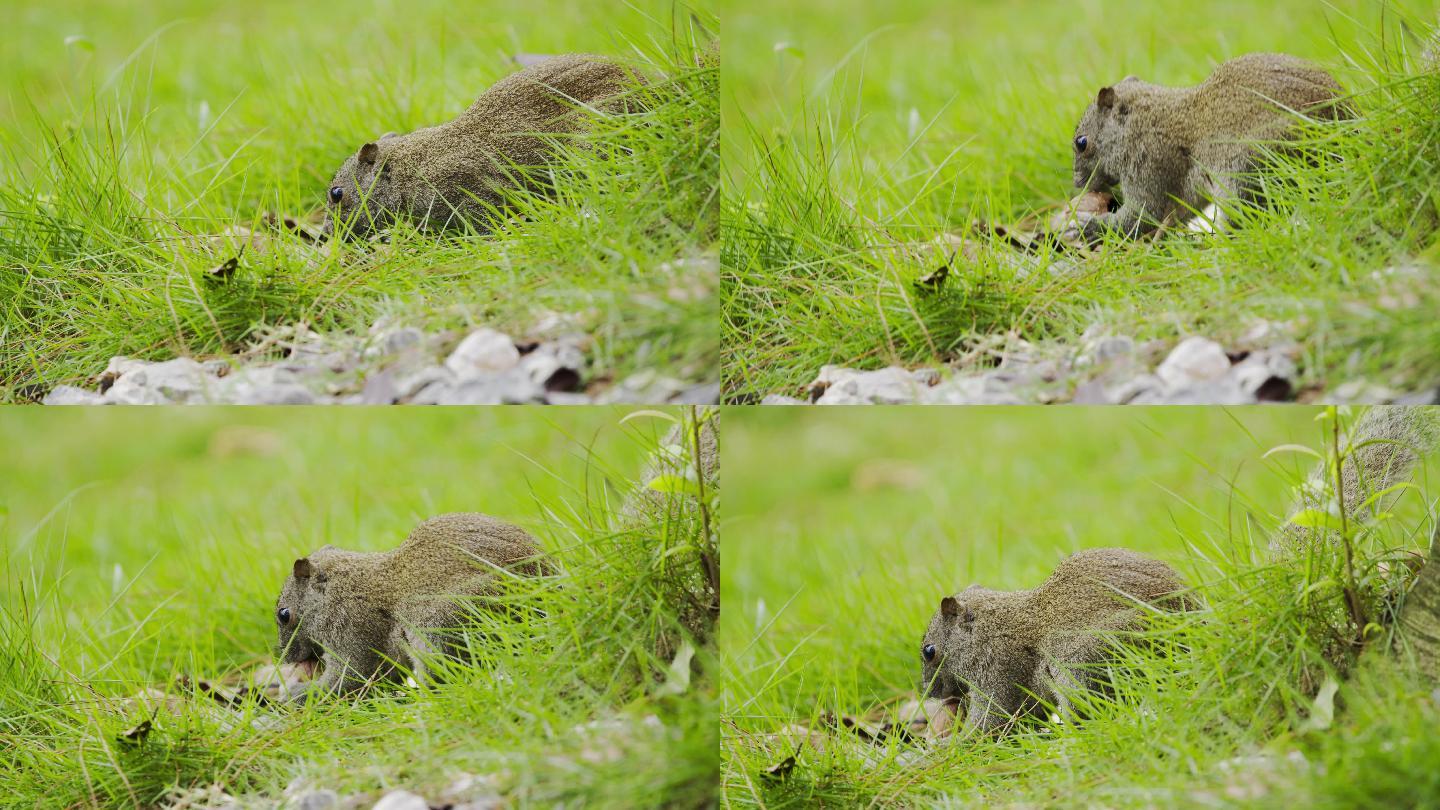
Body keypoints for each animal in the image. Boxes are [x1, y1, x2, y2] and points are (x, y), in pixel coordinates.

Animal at [273, 510, 550, 694]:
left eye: (284, 614)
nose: (286, 659)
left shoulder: (352, 627)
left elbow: (350, 677)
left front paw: (295, 697)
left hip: (444, 621)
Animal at [921, 547, 1192, 732]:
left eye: (929, 651)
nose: (928, 692)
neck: (986, 627)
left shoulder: (997, 669)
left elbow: (990, 719)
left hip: (1084, 662)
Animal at [1077, 51, 1353, 236]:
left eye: (1082, 143)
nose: (1079, 185)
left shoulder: (1149, 163)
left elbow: (1143, 214)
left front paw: (1087, 227)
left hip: (1249, 169)